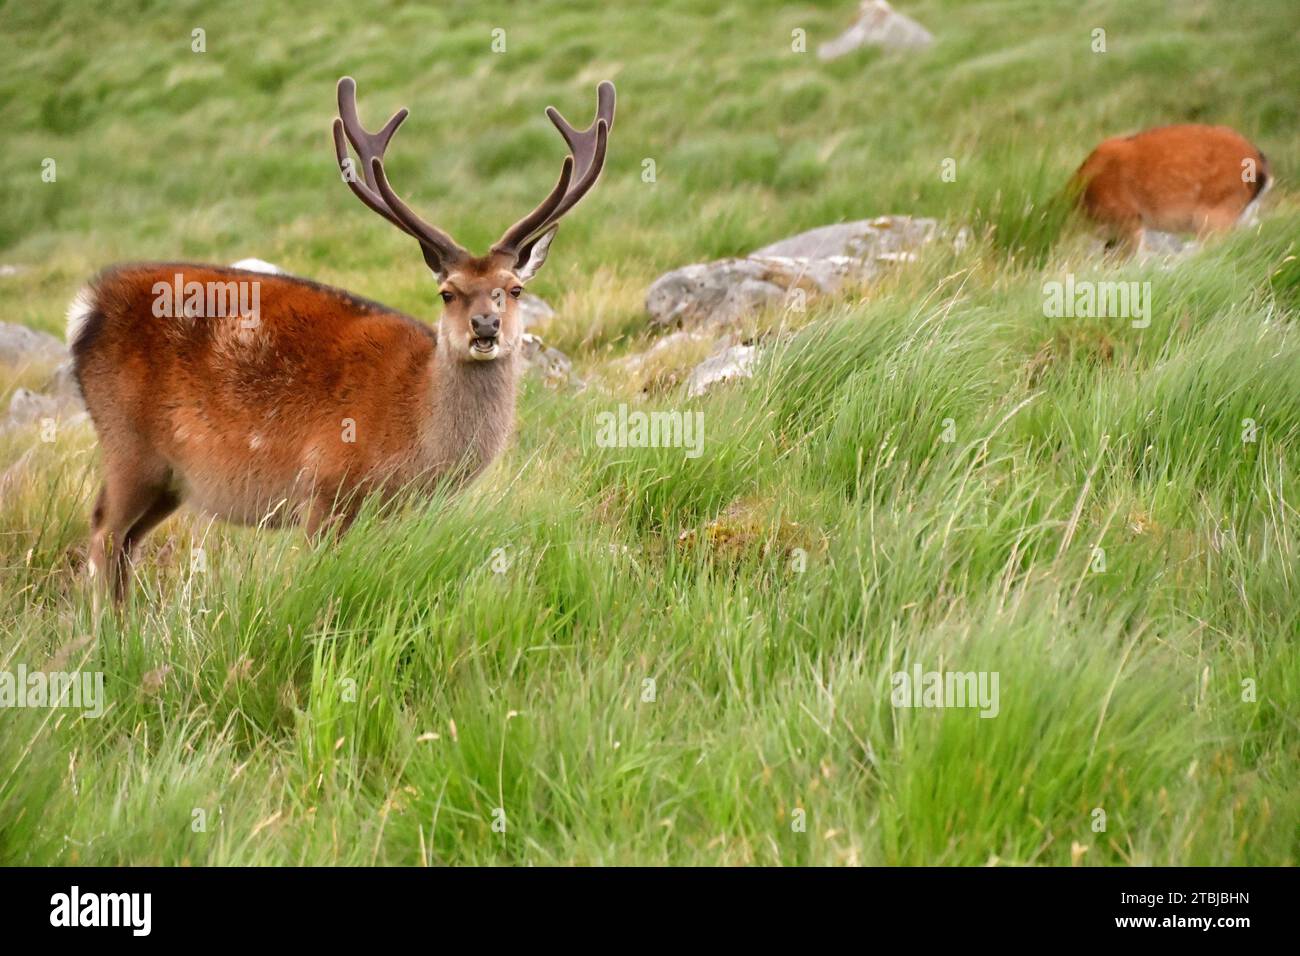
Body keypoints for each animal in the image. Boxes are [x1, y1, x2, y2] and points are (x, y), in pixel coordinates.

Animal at [68, 74, 616, 600]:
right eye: (448, 293)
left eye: (514, 288)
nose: (485, 326)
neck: (416, 429)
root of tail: (85, 309)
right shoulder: (326, 488)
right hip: (128, 445)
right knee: (102, 533)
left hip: (170, 479)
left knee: (127, 546)